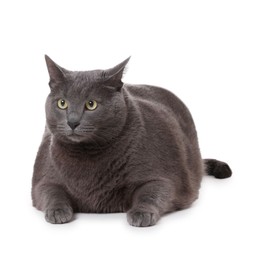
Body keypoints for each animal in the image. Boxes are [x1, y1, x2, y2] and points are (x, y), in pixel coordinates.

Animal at [31, 55, 233, 226]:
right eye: (62, 103)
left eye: (91, 104)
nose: (72, 122)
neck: (87, 156)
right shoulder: (43, 179)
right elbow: (50, 192)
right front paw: (57, 211)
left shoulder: (166, 177)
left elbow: (152, 192)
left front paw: (141, 213)